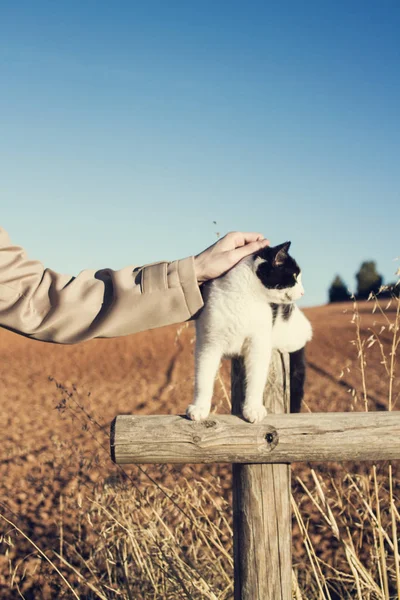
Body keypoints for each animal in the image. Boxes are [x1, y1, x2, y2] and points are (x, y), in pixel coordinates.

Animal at [186, 241, 310, 424]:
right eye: (294, 277)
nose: (302, 292)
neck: (245, 298)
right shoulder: (208, 344)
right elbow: (203, 377)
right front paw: (200, 408)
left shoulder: (258, 344)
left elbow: (256, 379)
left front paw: (253, 409)